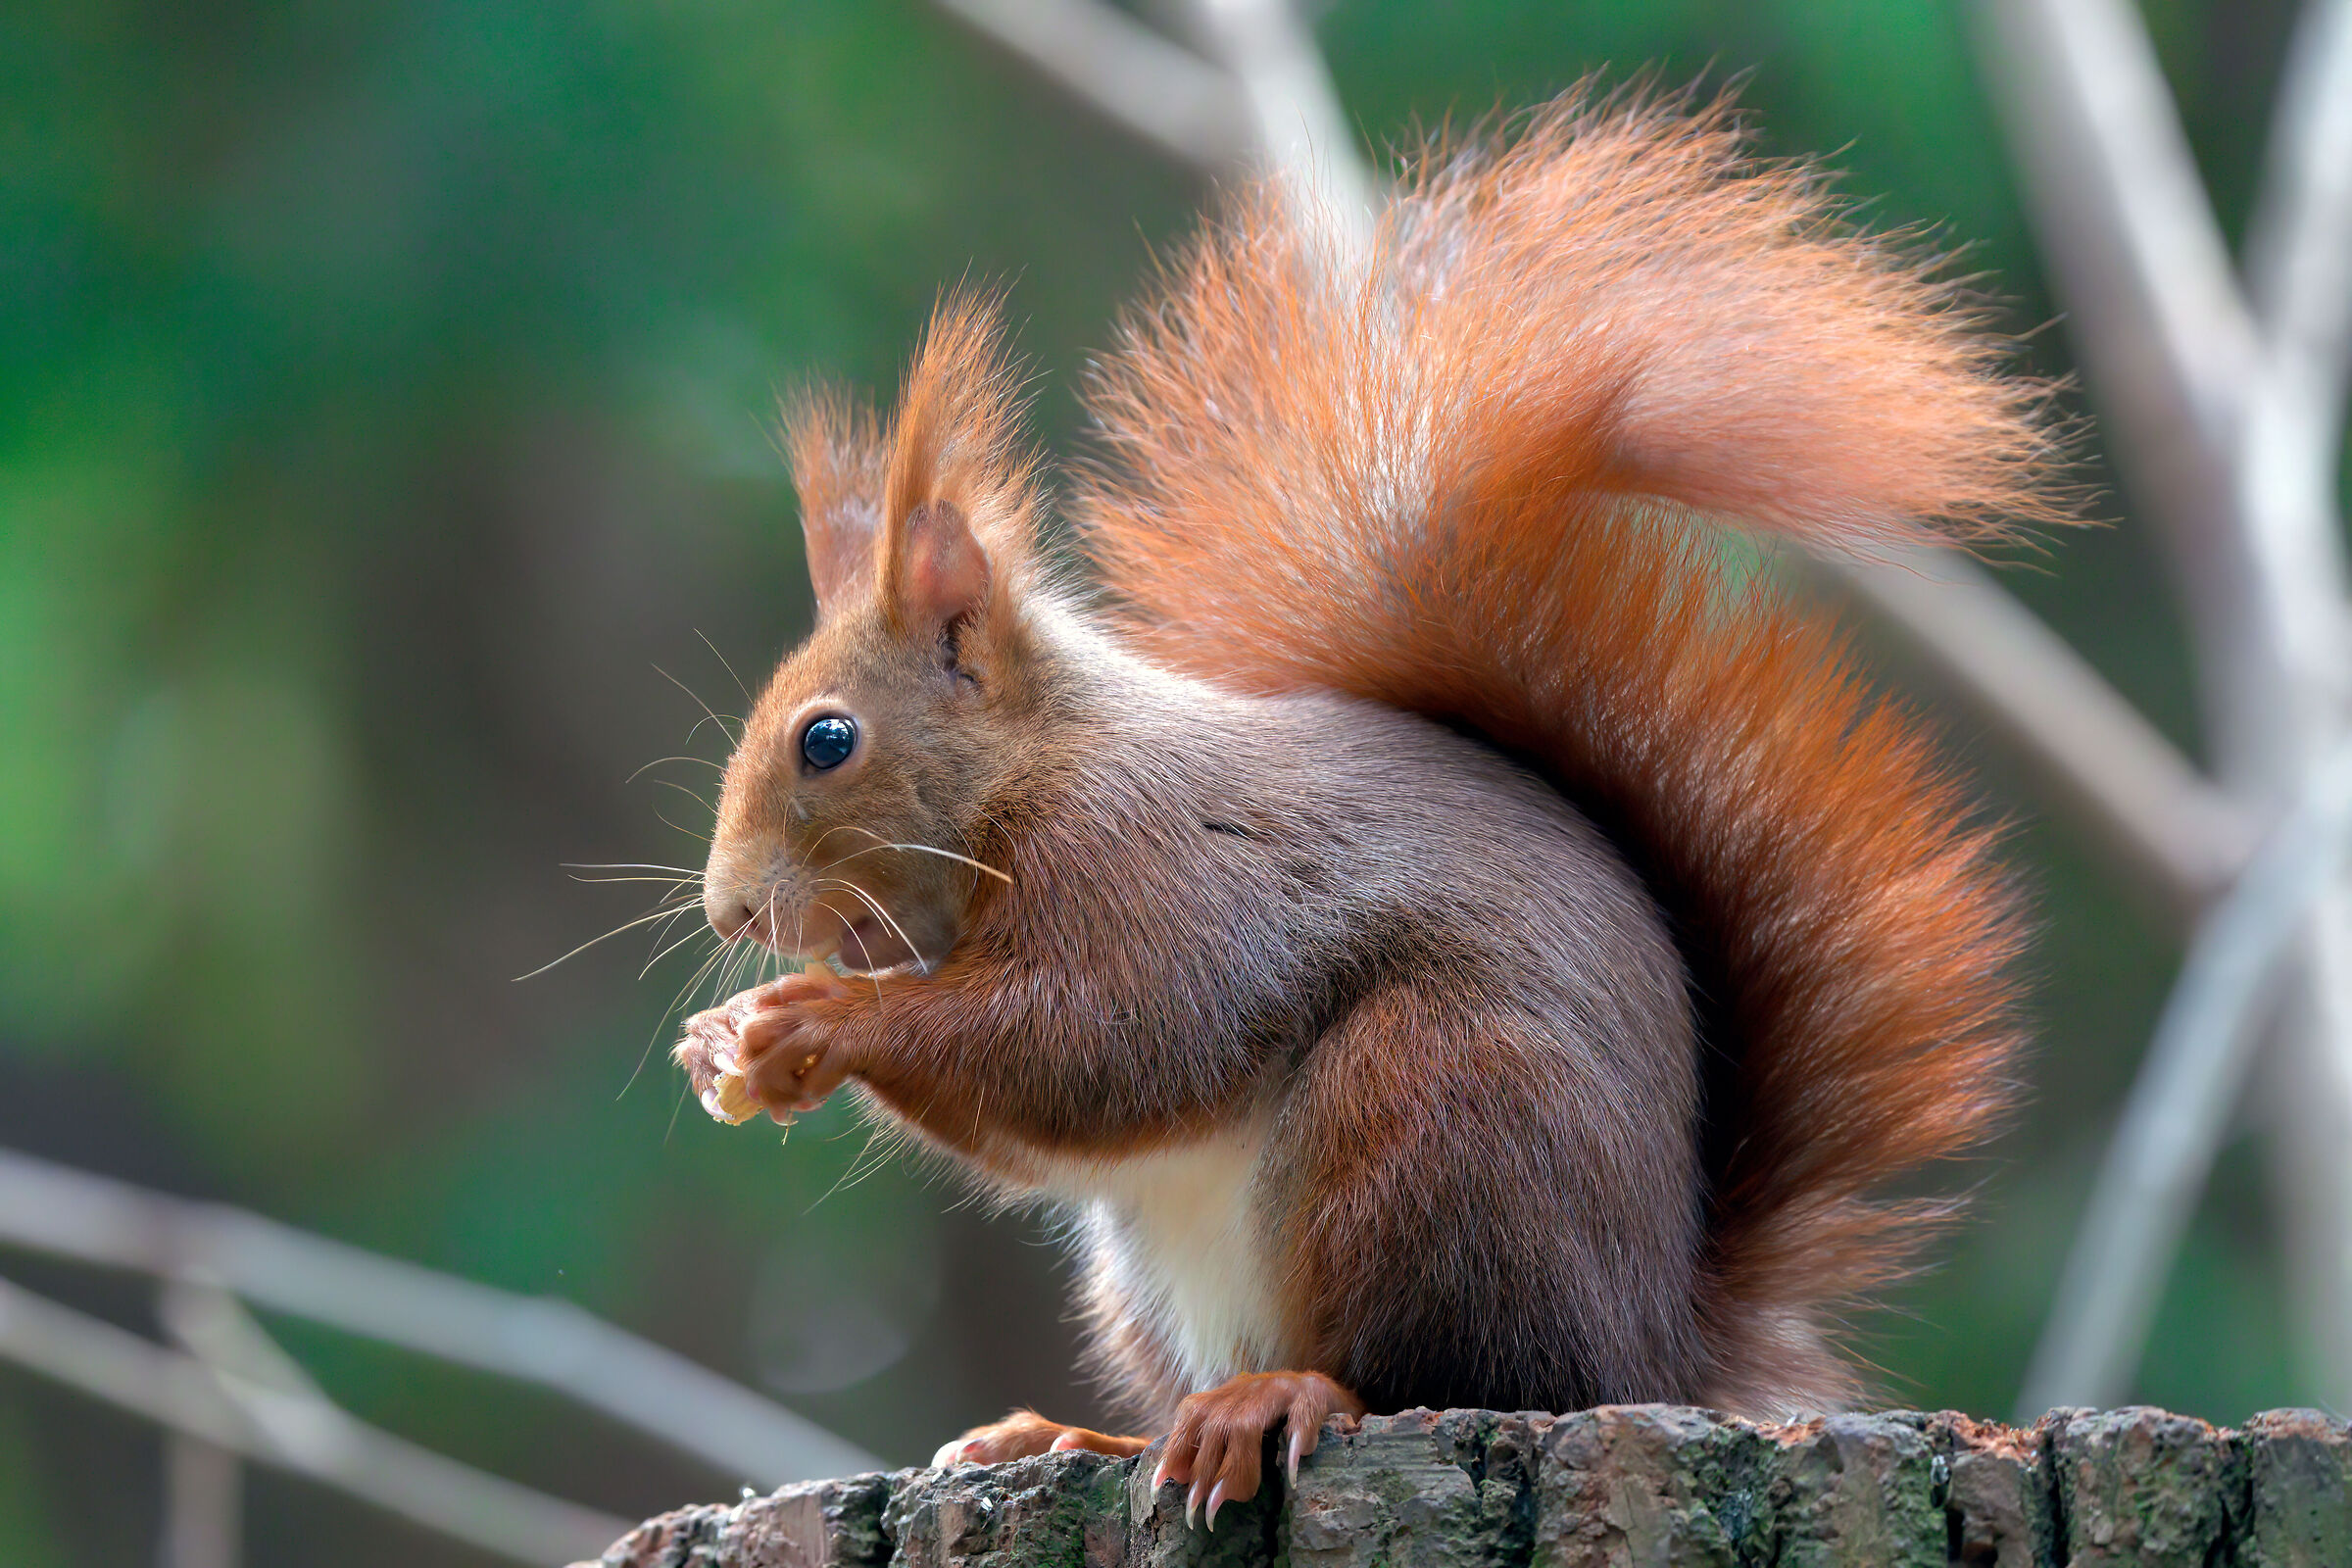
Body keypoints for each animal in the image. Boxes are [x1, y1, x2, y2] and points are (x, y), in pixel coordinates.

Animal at [669, 89, 2062, 1522]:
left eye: (827, 740)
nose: (729, 909)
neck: (1039, 764)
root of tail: (1654, 1350)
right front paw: (724, 1043)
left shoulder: (1155, 868)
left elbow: (1104, 1040)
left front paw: (815, 1021)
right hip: (1158, 1276)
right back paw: (1078, 1437)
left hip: (1426, 1121)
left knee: (1434, 1377)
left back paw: (1282, 1397)